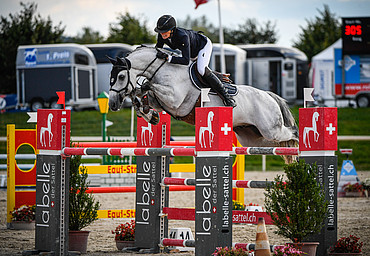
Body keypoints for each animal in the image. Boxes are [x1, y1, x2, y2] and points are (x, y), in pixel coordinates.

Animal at [107, 45, 298, 162]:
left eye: (121, 76)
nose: (113, 104)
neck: (164, 69)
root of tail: (269, 96)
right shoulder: (164, 103)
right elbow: (145, 96)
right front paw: (149, 114)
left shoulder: (176, 101)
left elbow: (149, 87)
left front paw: (145, 105)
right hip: (252, 138)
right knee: (276, 144)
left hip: (270, 129)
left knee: (291, 134)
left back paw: (298, 147)